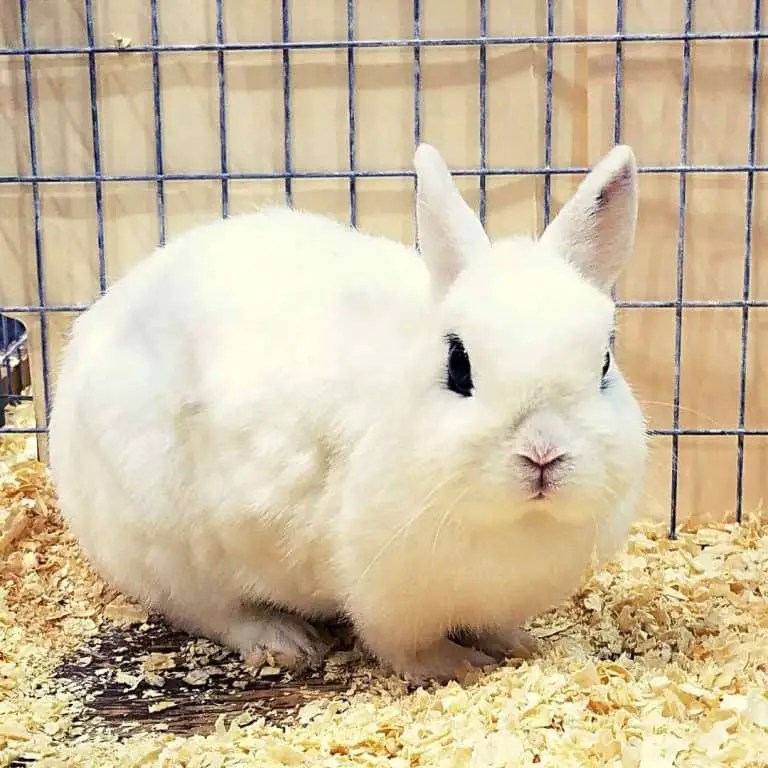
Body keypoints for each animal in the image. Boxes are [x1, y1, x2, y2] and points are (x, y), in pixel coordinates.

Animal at [48, 142, 647, 683]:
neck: (517, 525)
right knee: (208, 610)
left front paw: (519, 646)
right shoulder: (386, 592)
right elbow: (402, 645)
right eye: (458, 365)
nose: (542, 453)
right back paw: (286, 642)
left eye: (605, 362)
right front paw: (456, 667)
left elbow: (496, 627)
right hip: (172, 546)